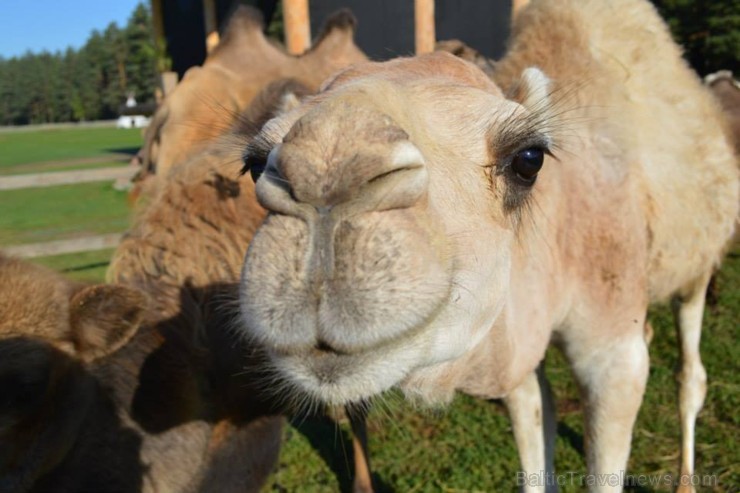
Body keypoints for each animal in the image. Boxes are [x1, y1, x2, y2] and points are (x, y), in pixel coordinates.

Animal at [238, 0, 740, 492]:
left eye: (529, 159)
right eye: (255, 164)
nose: (327, 168)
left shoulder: (614, 353)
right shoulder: (519, 352)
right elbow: (537, 431)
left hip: (695, 265)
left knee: (690, 372)